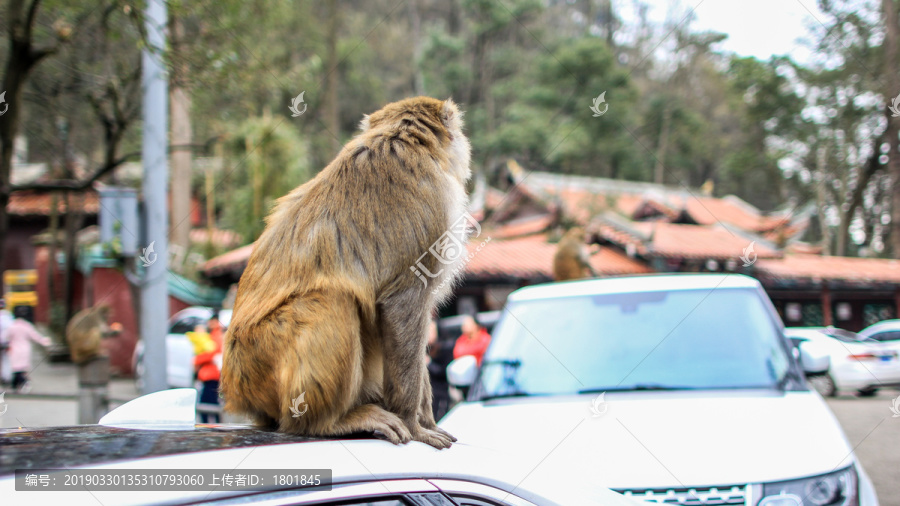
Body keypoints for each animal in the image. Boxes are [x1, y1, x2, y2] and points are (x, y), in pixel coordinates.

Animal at [221, 97, 472, 448]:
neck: (399, 138)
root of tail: (235, 390)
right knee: (333, 300)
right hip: (260, 361)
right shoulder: (433, 205)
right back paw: (329, 422)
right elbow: (403, 301)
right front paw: (416, 426)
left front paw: (426, 420)